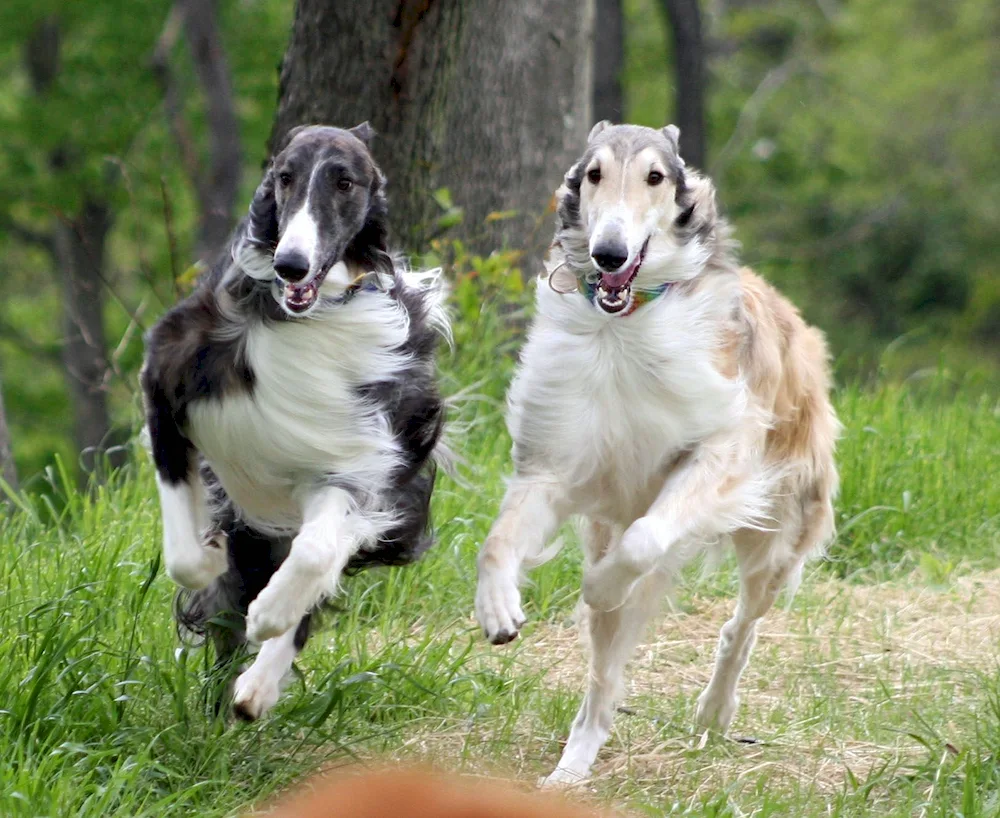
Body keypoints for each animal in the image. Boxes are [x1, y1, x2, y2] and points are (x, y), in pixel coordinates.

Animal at [141, 124, 450, 716]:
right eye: (283, 177)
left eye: (345, 182)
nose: (291, 265)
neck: (302, 319)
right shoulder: (165, 390)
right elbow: (185, 556)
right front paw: (210, 557)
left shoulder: (348, 460)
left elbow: (315, 553)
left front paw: (270, 614)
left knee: (324, 558)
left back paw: (257, 686)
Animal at [472, 122, 840, 784]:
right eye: (594, 173)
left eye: (655, 177)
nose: (609, 255)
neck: (624, 329)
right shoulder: (555, 465)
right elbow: (497, 543)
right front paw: (498, 610)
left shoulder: (716, 456)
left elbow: (641, 542)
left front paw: (598, 584)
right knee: (603, 681)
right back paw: (572, 767)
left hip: (778, 537)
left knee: (740, 626)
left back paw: (714, 710)